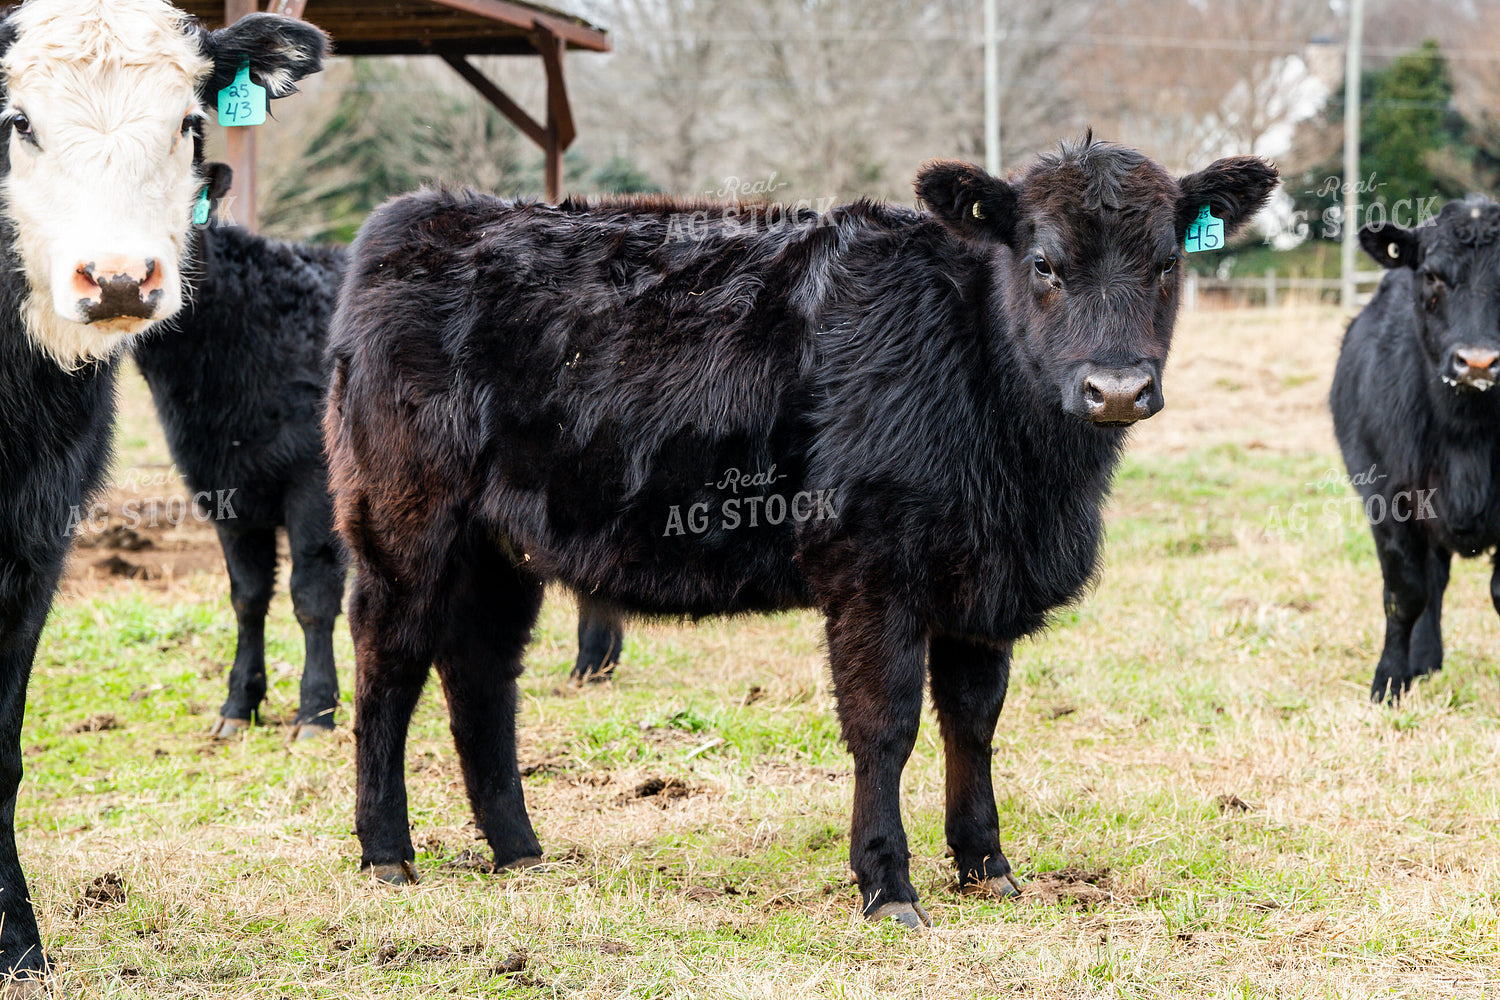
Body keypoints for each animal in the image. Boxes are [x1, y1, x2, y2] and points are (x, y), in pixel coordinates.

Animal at [135, 164, 626, 737]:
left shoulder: (313, 484)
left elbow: (311, 595)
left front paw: (315, 709)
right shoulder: (223, 487)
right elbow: (248, 596)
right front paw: (238, 705)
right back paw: (595, 663)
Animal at [324, 135, 1277, 928]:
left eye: (1166, 263)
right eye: (1044, 262)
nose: (1116, 389)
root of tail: (423, 217)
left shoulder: (982, 583)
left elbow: (974, 720)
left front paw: (987, 866)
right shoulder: (871, 570)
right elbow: (886, 725)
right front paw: (888, 886)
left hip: (500, 548)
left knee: (481, 674)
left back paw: (519, 850)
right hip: (405, 521)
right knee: (388, 663)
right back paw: (387, 853)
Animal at [1332, 197, 1500, 703]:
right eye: (1431, 275)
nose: (1478, 362)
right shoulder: (1388, 497)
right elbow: (1405, 593)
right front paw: (1389, 679)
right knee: (1433, 581)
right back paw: (1424, 659)